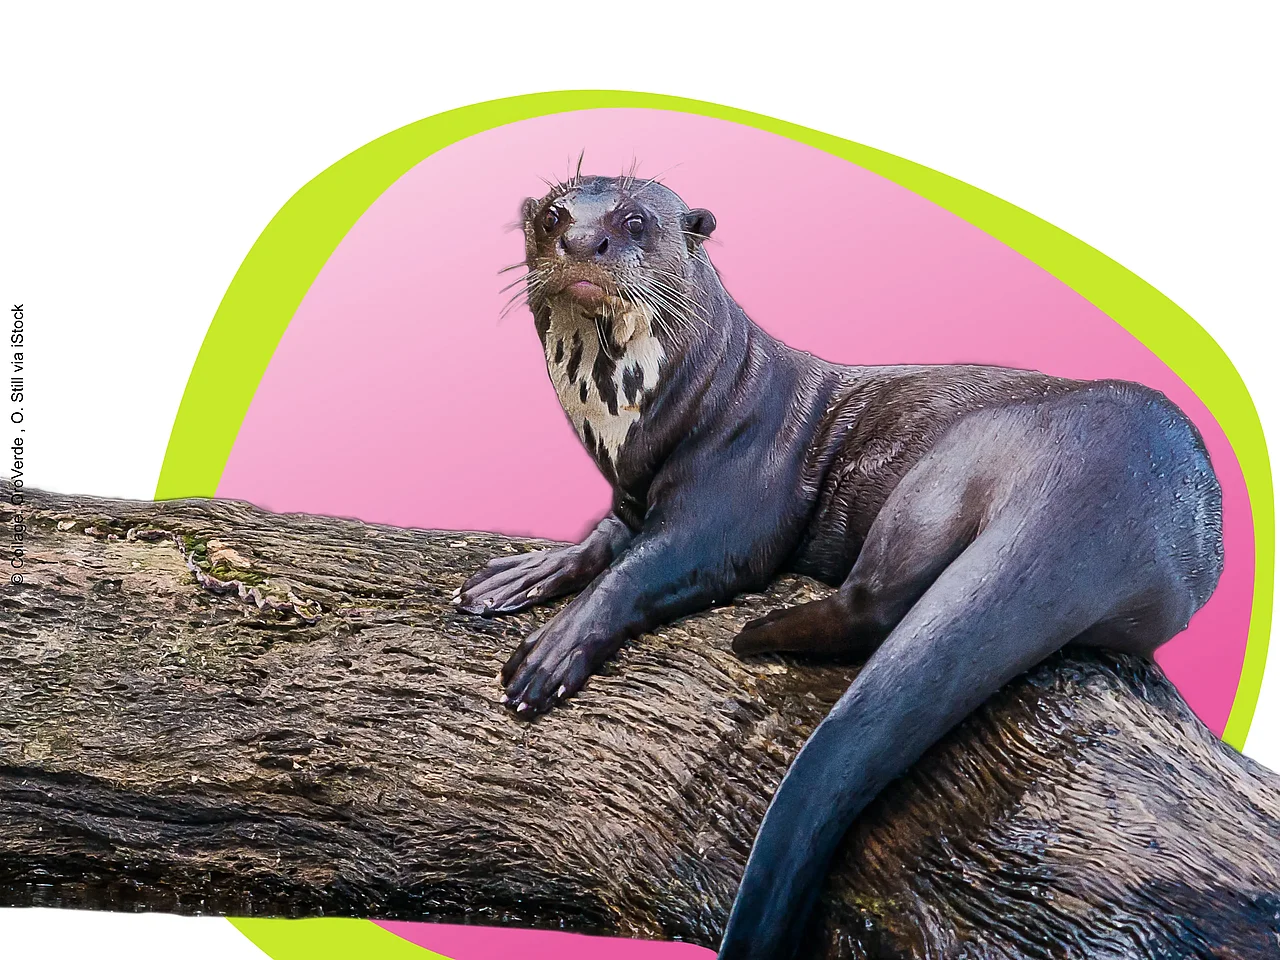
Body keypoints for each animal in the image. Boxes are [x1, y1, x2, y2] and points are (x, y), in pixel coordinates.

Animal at [454, 171, 1224, 959]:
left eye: (634, 220)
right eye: (553, 216)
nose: (582, 241)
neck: (687, 405)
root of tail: (1119, 483)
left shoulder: (734, 500)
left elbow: (647, 568)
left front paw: (555, 649)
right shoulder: (632, 498)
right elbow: (602, 539)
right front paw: (520, 573)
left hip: (954, 460)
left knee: (877, 603)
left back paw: (759, 634)